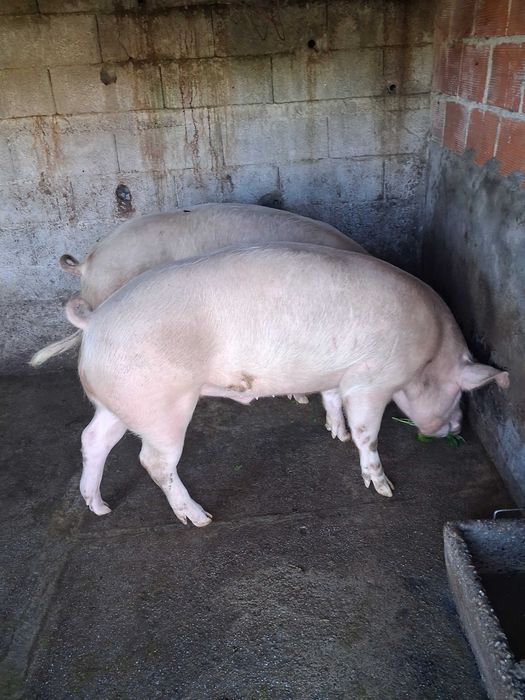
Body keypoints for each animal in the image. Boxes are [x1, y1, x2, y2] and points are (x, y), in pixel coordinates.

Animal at [65, 244, 509, 524]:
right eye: (460, 394)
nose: (457, 427)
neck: (427, 352)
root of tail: (95, 322)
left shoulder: (335, 374)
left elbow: (331, 399)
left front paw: (336, 434)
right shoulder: (370, 381)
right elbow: (367, 433)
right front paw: (385, 488)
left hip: (119, 402)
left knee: (93, 439)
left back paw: (100, 508)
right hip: (161, 407)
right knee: (154, 462)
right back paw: (200, 518)